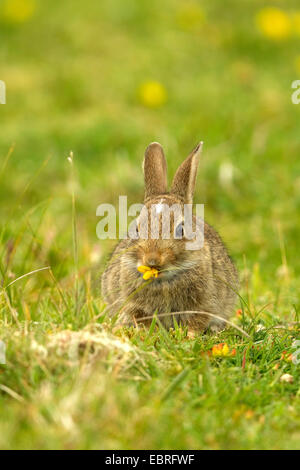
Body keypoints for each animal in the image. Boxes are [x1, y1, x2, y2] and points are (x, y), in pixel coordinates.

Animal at [101, 142, 239, 330]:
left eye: (181, 229)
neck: (163, 279)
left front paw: (189, 335)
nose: (152, 259)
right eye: (136, 228)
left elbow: (196, 322)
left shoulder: (204, 306)